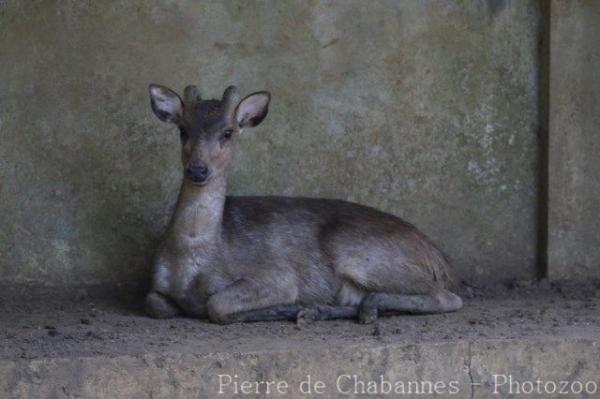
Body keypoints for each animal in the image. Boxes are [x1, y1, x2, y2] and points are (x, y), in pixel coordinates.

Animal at [143, 83, 462, 324]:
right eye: (183, 129)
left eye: (228, 132)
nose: (198, 170)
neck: (192, 260)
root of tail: (440, 260)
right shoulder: (156, 287)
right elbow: (154, 303)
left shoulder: (276, 275)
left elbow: (217, 305)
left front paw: (292, 306)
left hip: (360, 254)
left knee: (448, 297)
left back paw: (359, 308)